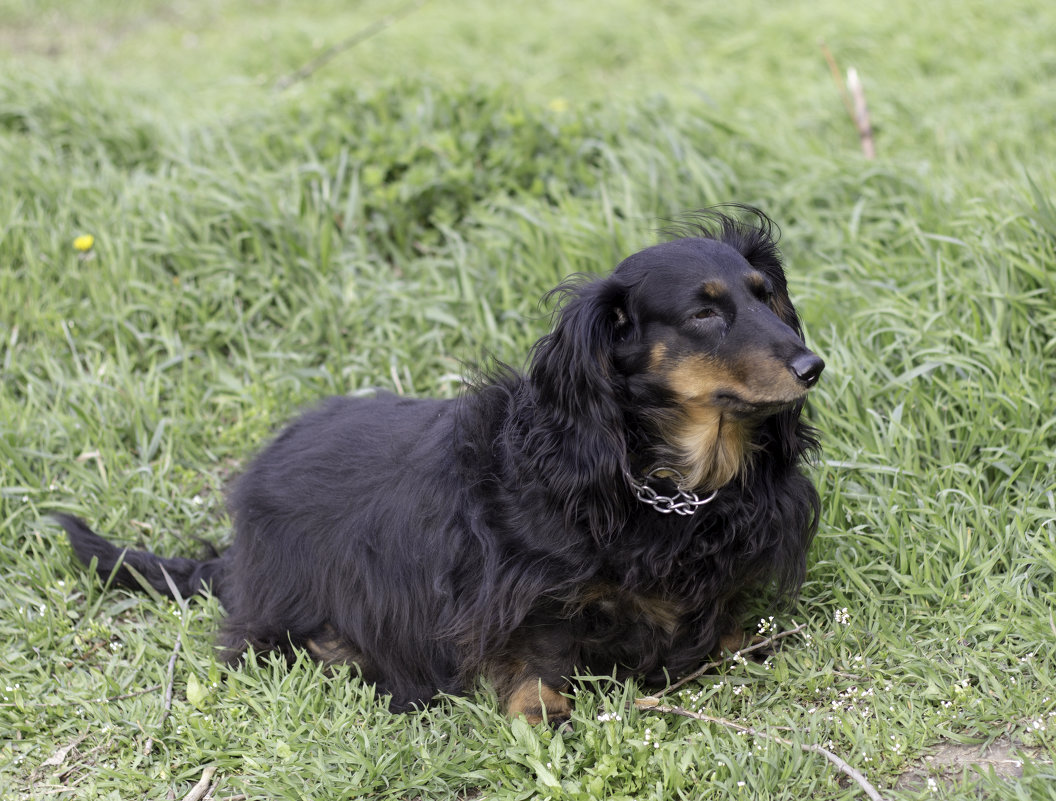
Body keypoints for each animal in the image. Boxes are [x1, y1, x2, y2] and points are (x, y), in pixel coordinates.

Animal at [57, 206, 823, 726]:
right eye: (704, 313)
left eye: (765, 293)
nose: (813, 365)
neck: (661, 485)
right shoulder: (521, 591)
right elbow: (541, 656)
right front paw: (541, 716)